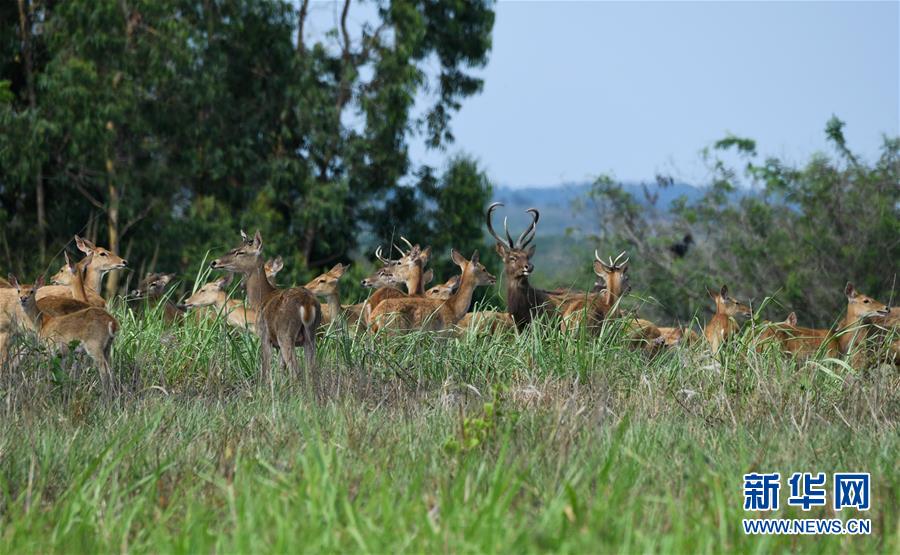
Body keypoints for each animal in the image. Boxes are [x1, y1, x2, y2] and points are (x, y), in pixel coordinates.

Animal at [209, 230, 322, 378]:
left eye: (240, 252)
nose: (214, 262)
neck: (260, 300)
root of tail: (307, 303)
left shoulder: (264, 336)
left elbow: (266, 370)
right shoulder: (277, 344)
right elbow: (280, 370)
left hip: (285, 333)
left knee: (295, 371)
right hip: (311, 335)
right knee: (312, 370)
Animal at [370, 251, 500, 334]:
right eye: (484, 268)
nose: (493, 278)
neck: (453, 308)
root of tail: (374, 318)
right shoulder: (442, 335)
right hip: (394, 332)